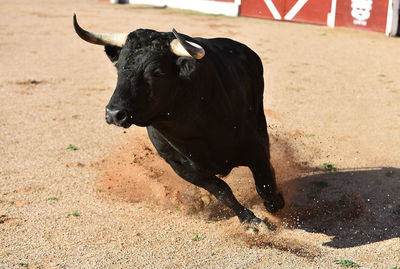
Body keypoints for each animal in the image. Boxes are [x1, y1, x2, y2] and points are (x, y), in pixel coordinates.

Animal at [74, 14, 284, 230]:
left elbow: (265, 183)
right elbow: (222, 191)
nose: (115, 113)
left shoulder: (254, 147)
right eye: (119, 67)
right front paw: (249, 220)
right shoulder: (181, 167)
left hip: (259, 119)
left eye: (157, 71)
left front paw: (275, 204)